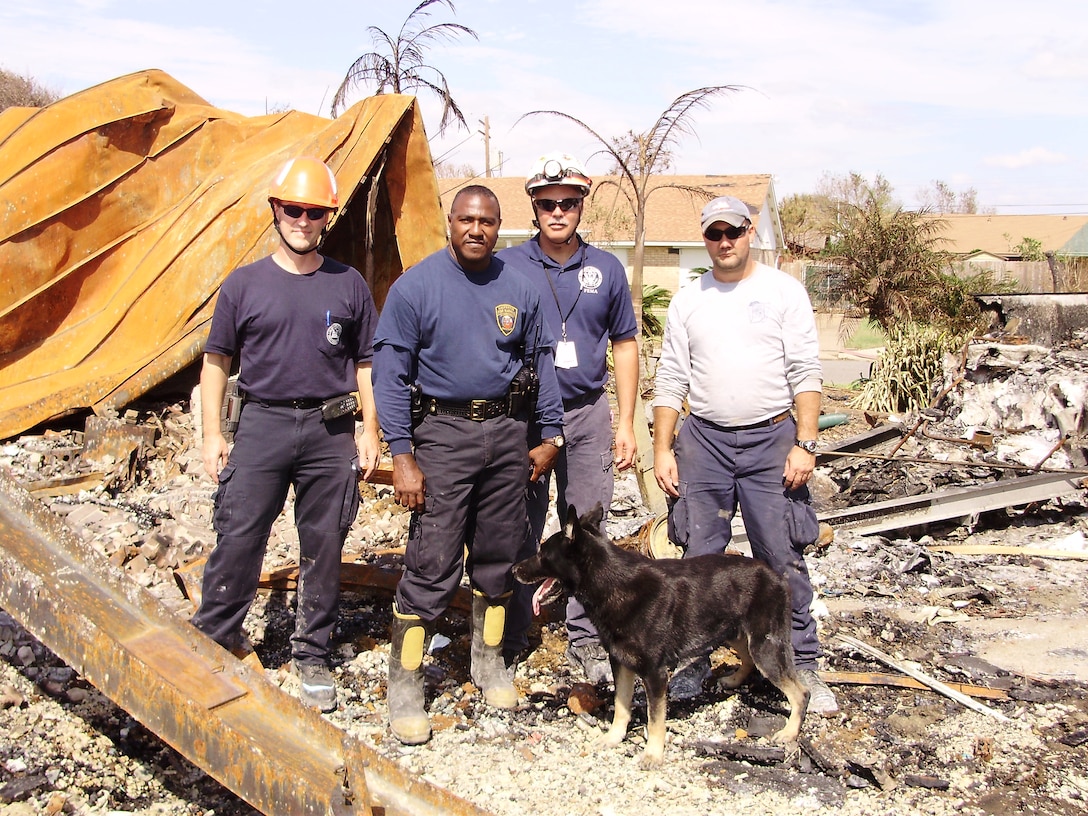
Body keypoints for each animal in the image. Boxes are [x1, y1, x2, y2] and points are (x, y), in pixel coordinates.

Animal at [511, 504, 809, 765]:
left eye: (542, 554)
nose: (514, 570)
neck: (611, 582)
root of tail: (776, 576)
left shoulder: (655, 674)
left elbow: (655, 719)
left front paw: (653, 754)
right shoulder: (620, 664)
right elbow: (621, 706)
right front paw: (613, 738)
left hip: (764, 646)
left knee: (800, 692)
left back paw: (789, 731)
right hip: (735, 633)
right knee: (748, 658)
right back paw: (734, 680)